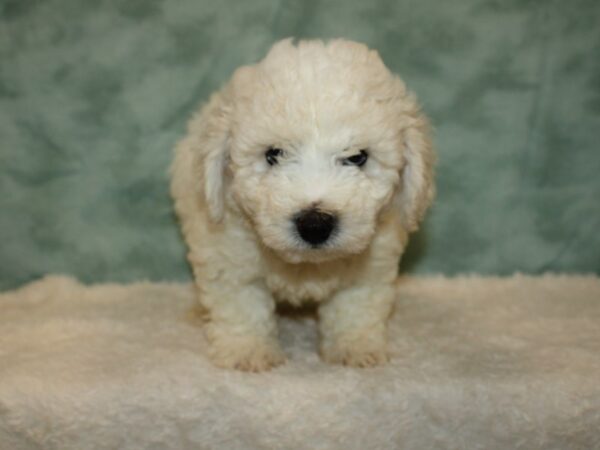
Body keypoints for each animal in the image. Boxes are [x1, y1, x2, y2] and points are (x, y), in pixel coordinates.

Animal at [171, 38, 434, 370]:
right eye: (273, 154)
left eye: (357, 157)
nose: (315, 224)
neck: (306, 265)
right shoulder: (228, 256)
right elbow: (242, 305)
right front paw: (247, 352)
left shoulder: (372, 263)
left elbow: (356, 306)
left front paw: (355, 348)